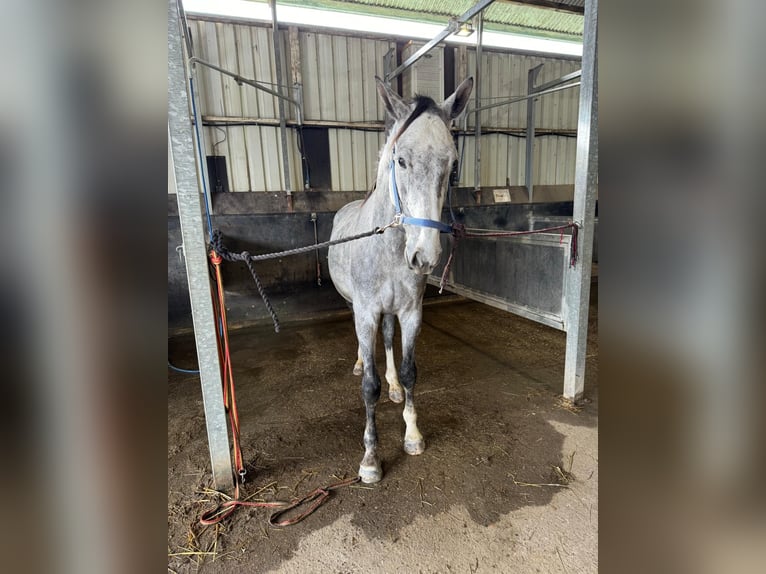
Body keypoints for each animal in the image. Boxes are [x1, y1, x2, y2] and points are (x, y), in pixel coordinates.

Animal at [328, 75, 474, 482]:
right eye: (401, 160)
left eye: (453, 165)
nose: (425, 256)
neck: (390, 247)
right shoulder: (365, 312)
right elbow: (368, 386)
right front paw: (370, 459)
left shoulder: (410, 313)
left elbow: (409, 371)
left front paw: (412, 435)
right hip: (357, 307)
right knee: (366, 346)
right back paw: (360, 362)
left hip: (391, 313)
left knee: (388, 340)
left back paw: (392, 385)